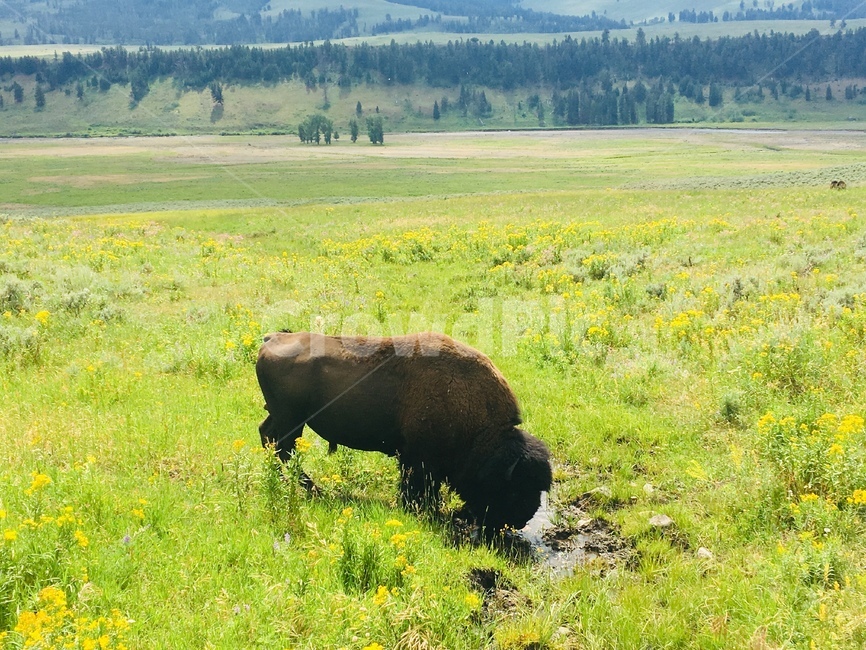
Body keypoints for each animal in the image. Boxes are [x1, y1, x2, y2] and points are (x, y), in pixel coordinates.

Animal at [256, 331, 552, 532]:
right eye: (513, 489)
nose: (521, 520)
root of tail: (273, 338)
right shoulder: (417, 459)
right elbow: (415, 486)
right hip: (292, 421)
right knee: (284, 449)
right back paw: (314, 490)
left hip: (284, 419)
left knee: (269, 438)